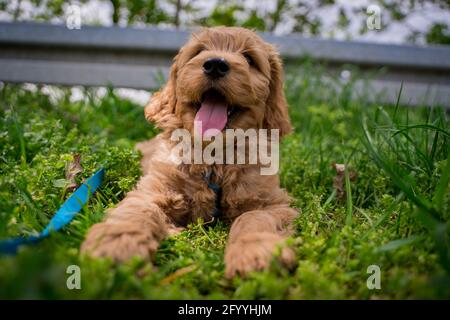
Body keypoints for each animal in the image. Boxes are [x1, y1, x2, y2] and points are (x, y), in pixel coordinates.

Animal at [81, 26, 298, 278]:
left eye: (249, 59)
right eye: (199, 51)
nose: (215, 64)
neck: (214, 158)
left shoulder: (271, 202)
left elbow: (253, 217)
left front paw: (256, 252)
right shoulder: (153, 190)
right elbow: (137, 212)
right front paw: (115, 245)